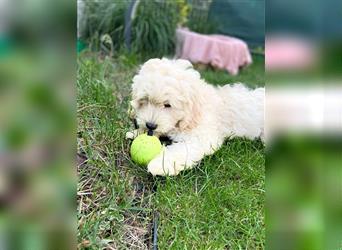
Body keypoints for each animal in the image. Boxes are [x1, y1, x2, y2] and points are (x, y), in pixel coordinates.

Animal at [128, 58, 264, 176]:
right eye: (145, 100)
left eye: (167, 105)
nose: (150, 125)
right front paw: (137, 132)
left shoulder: (202, 137)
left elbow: (182, 150)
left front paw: (161, 164)